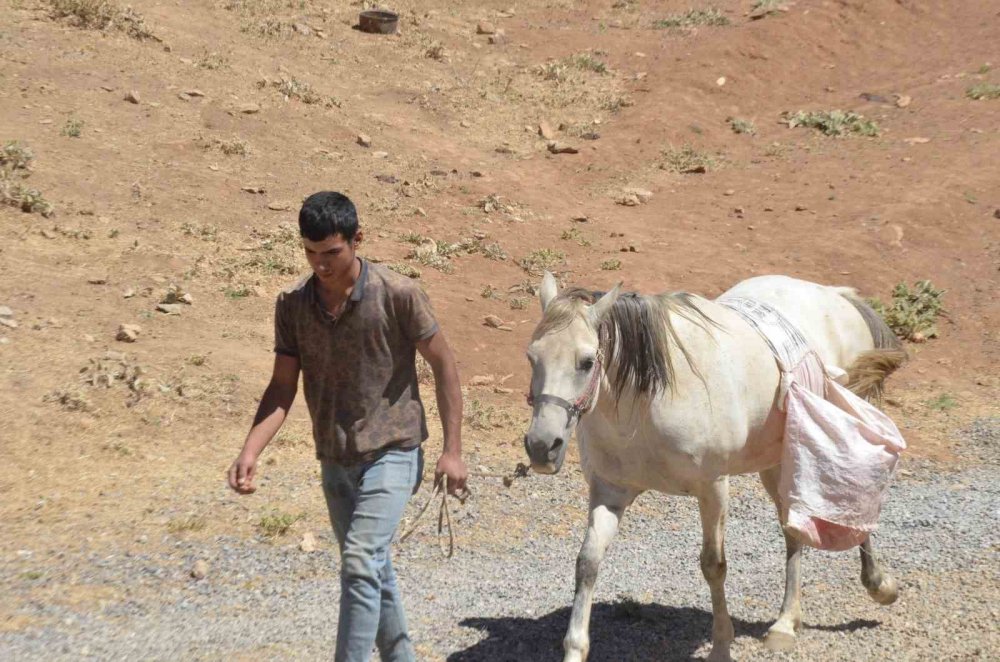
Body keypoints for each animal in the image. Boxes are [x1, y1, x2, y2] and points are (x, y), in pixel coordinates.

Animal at [528, 272, 904, 660]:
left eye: (587, 361)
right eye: (532, 358)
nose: (541, 446)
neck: (646, 403)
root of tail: (838, 296)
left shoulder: (712, 488)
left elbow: (713, 565)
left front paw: (722, 645)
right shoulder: (610, 490)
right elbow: (587, 563)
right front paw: (574, 648)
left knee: (854, 499)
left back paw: (878, 585)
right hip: (779, 460)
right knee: (792, 528)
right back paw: (786, 623)